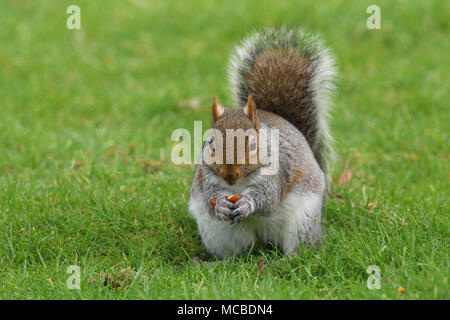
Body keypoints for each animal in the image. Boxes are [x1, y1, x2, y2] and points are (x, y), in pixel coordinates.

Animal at [188, 26, 336, 258]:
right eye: (210, 143)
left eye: (252, 145)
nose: (229, 176)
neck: (239, 186)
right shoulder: (206, 177)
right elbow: (209, 197)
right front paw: (220, 204)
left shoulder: (277, 171)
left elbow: (268, 199)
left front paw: (248, 203)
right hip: (219, 233)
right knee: (239, 253)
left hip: (303, 221)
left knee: (301, 247)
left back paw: (289, 260)